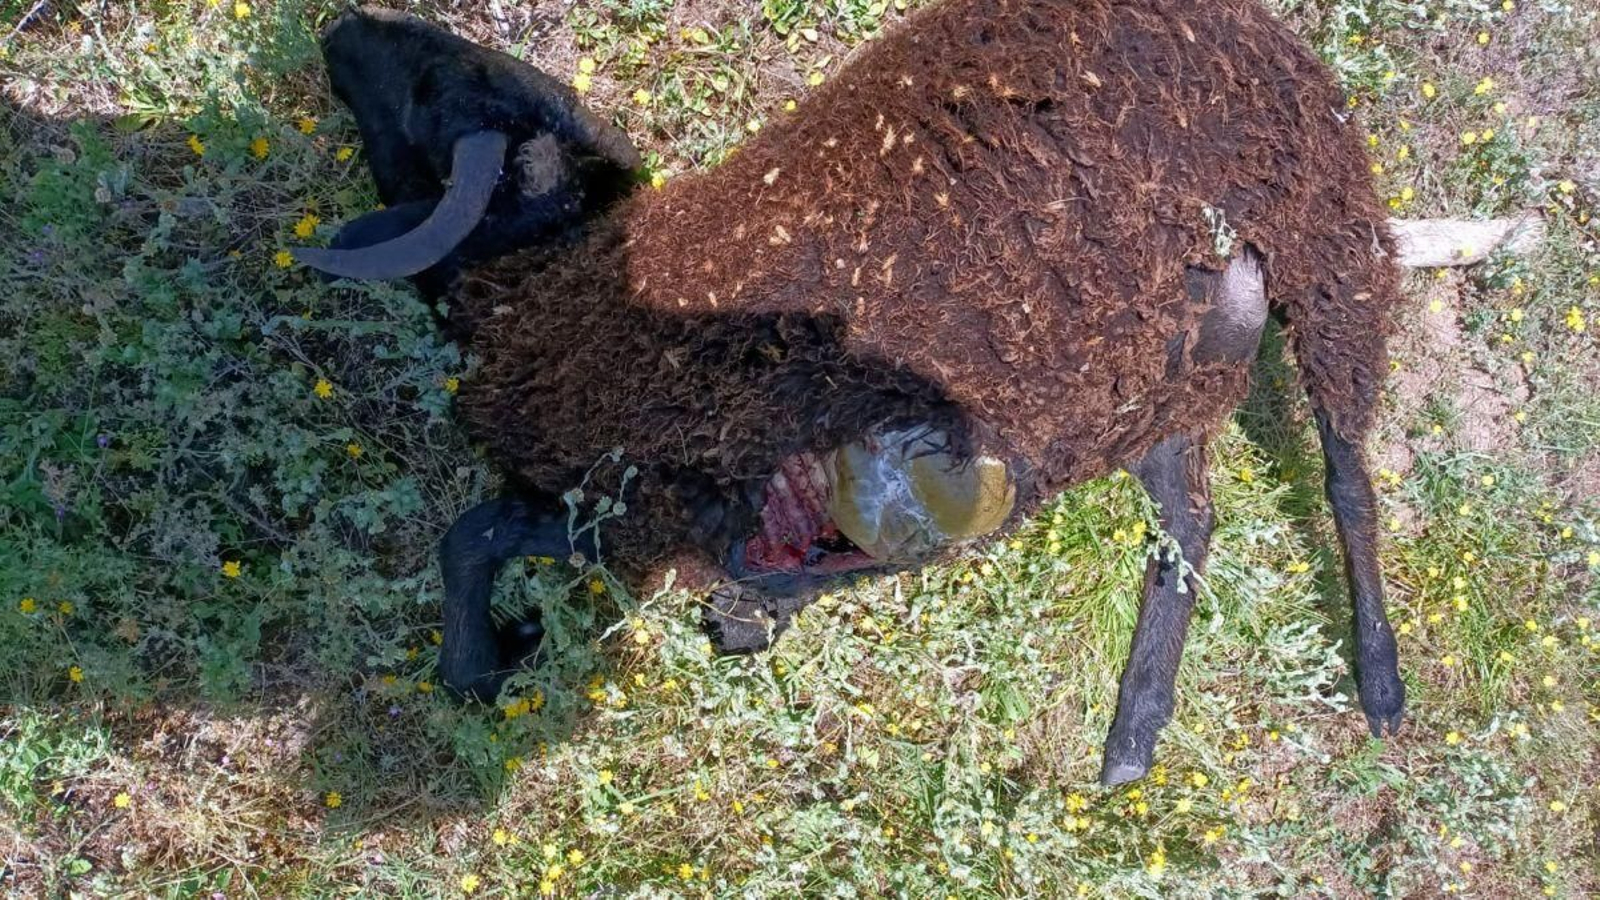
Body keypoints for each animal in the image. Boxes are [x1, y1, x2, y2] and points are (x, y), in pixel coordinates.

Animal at [297, 0, 1408, 785]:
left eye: (433, 87)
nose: (336, 27)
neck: (579, 285)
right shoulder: (642, 511)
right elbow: (481, 537)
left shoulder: (654, 502)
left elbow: (465, 539)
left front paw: (493, 661)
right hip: (1152, 382)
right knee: (1192, 515)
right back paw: (1132, 736)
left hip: (1332, 255)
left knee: (1348, 480)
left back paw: (1381, 686)